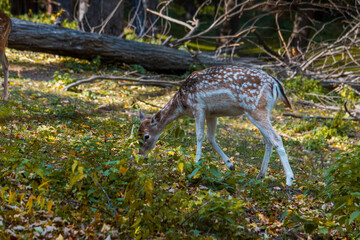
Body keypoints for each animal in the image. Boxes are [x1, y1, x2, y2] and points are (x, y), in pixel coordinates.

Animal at [139, 64, 296, 187]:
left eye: (146, 136)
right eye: (137, 133)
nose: (141, 155)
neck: (182, 103)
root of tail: (276, 83)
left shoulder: (198, 107)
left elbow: (199, 136)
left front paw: (196, 164)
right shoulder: (211, 114)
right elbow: (210, 137)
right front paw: (230, 165)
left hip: (255, 108)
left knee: (276, 138)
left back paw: (289, 179)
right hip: (262, 110)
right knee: (268, 140)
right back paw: (260, 175)